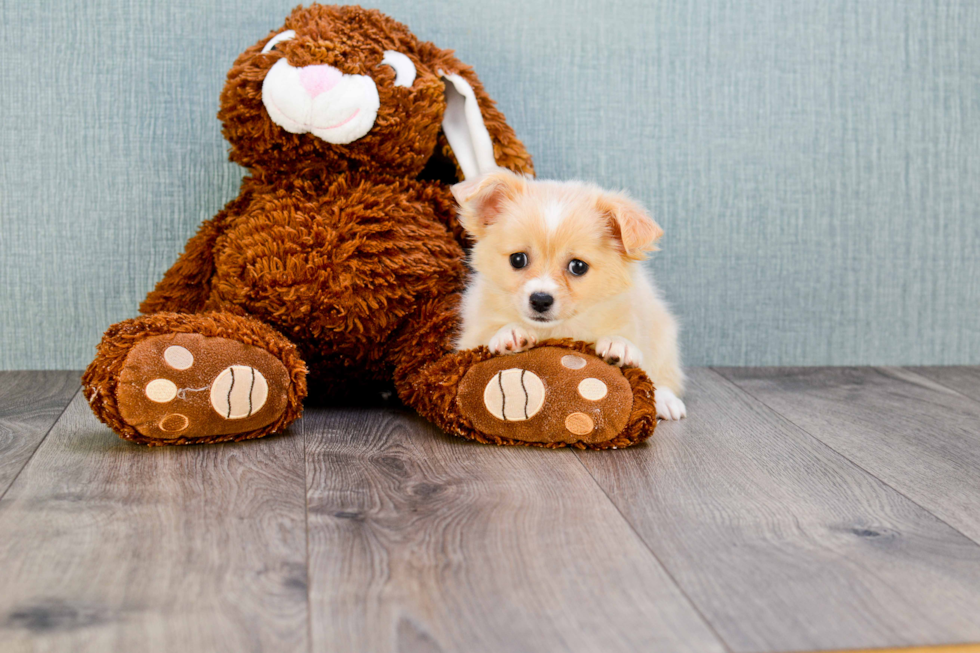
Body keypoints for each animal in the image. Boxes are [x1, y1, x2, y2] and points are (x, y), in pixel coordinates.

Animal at [454, 171, 688, 420]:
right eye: (517, 259)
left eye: (578, 266)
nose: (540, 300)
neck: (554, 329)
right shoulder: (471, 334)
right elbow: (489, 332)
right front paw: (510, 332)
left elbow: (632, 346)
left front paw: (618, 344)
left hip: (664, 339)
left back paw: (665, 400)